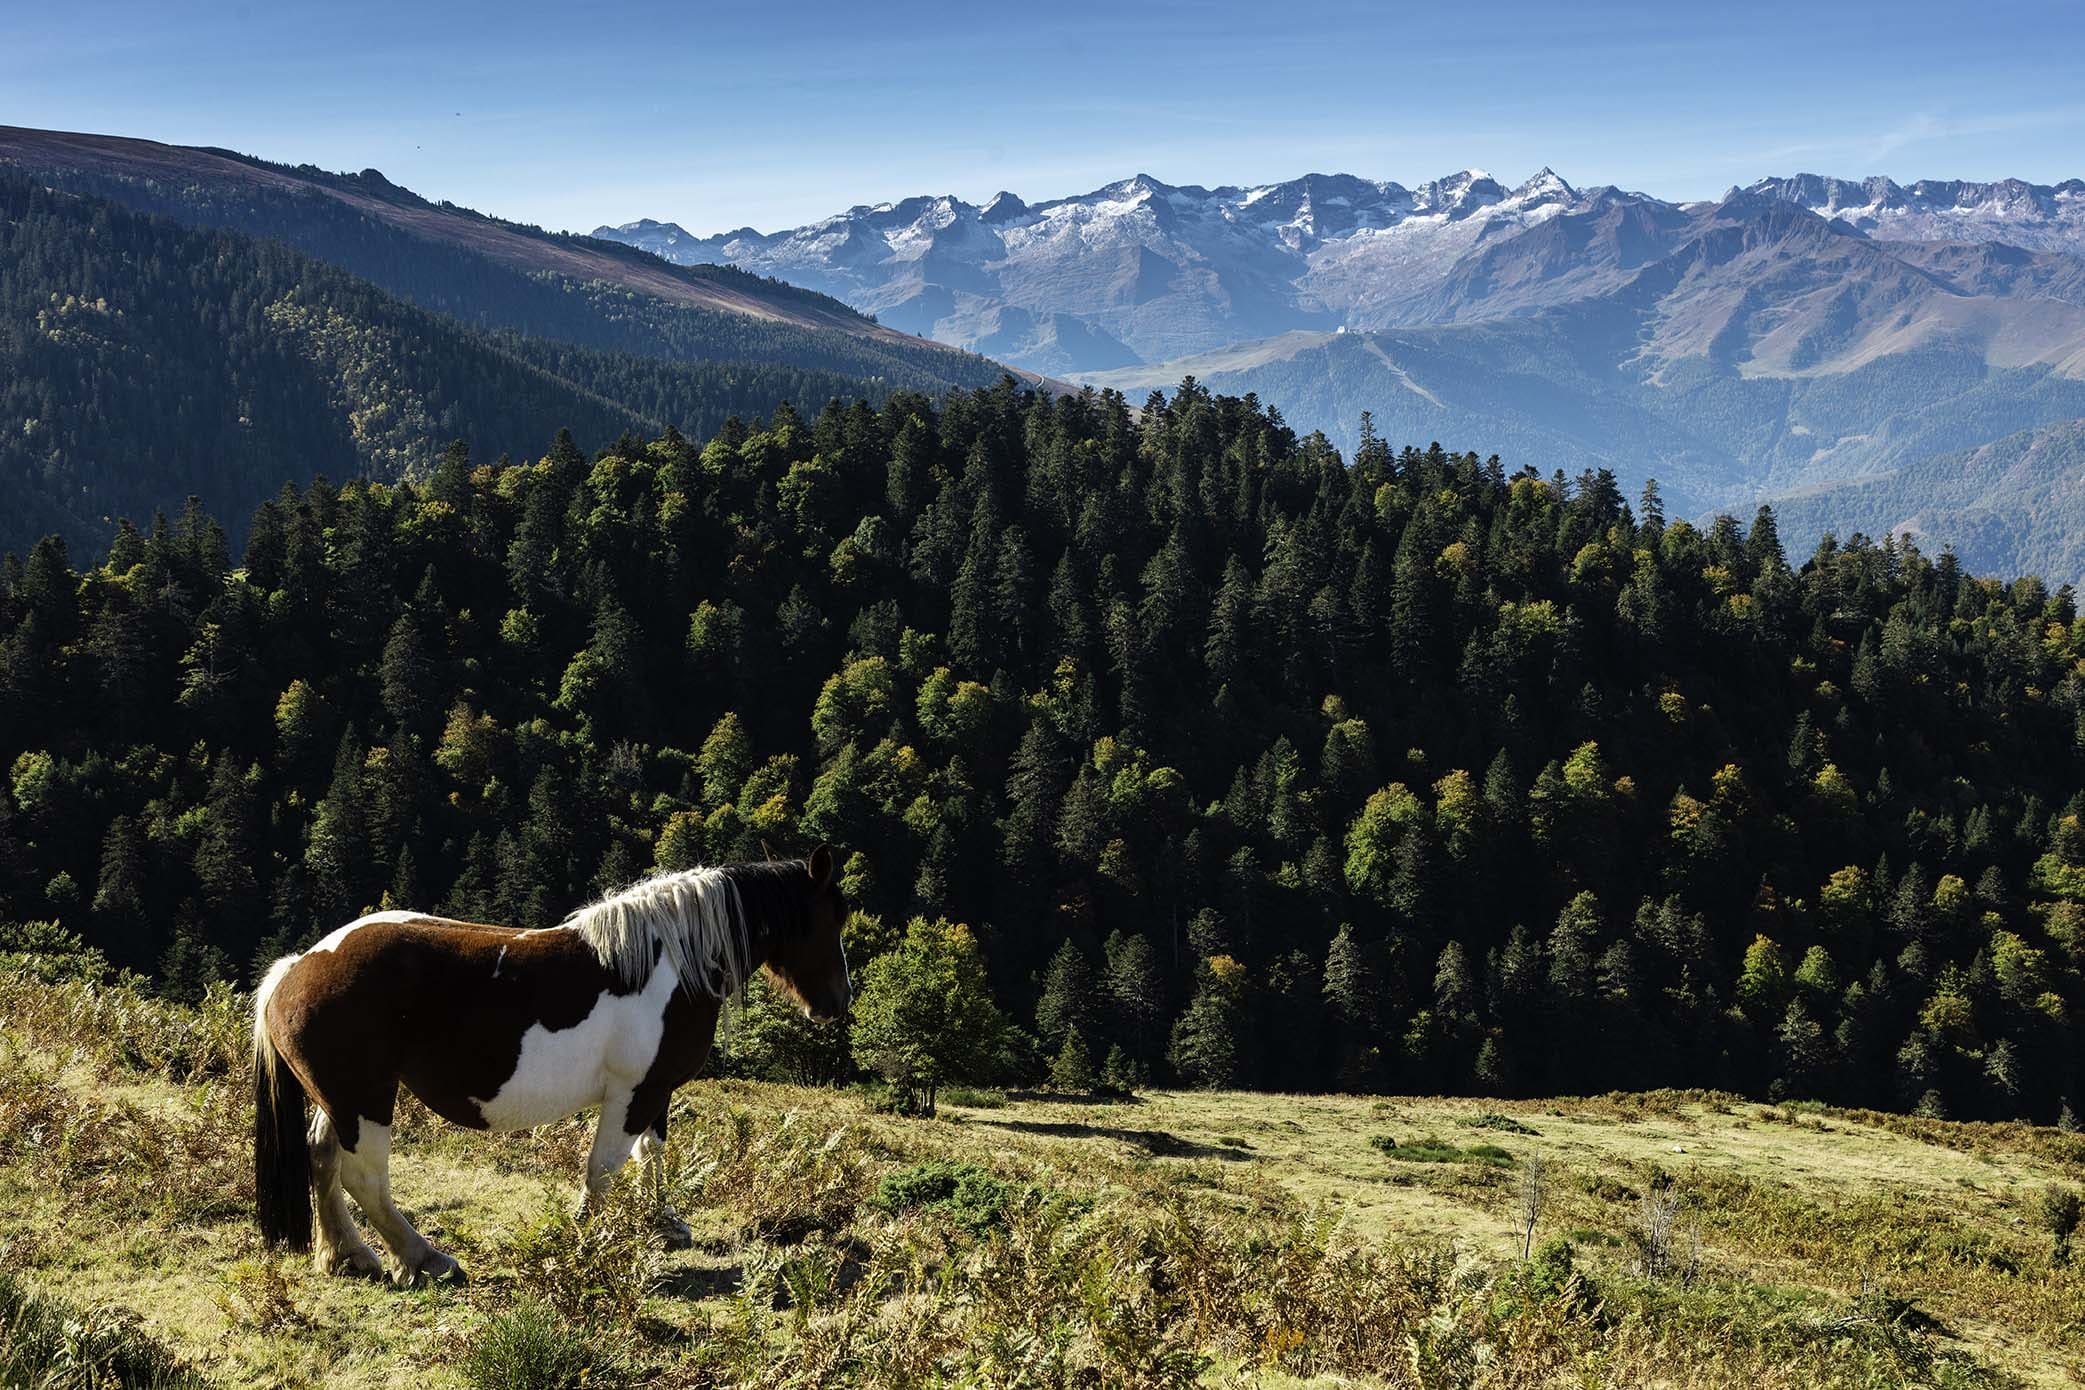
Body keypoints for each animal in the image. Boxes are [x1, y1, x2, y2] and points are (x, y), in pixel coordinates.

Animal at [250, 841, 846, 1292]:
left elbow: (651, 1154)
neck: (670, 965)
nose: (837, 1003)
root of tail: (293, 971)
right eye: (828, 920)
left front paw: (664, 1223)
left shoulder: (655, 1091)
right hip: (365, 1099)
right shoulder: (633, 1092)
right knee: (364, 1178)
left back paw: (347, 1256)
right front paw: (584, 1237)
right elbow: (604, 1168)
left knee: (323, 1158)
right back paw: (427, 1260)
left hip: (343, 1098)